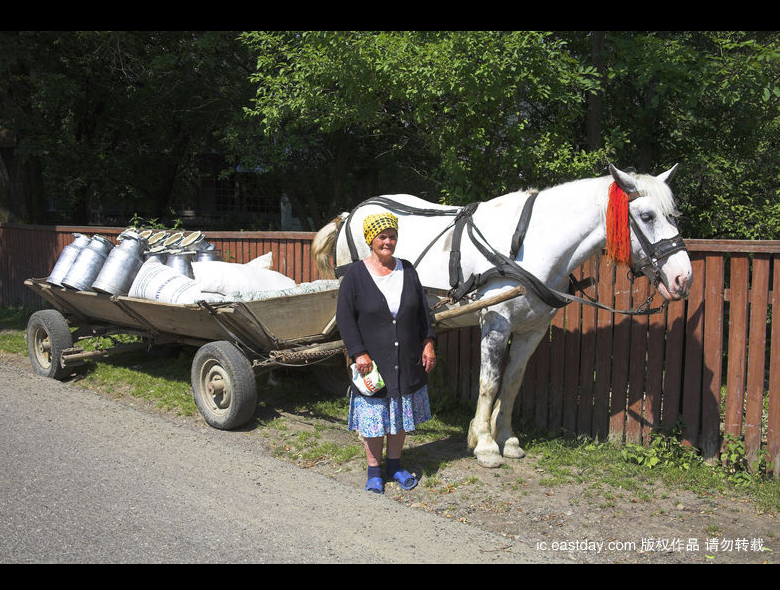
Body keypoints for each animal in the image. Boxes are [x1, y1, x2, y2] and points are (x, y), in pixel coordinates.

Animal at [314, 164, 692, 470]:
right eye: (647, 216)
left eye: (673, 214)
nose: (683, 278)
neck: (529, 244)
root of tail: (351, 213)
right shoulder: (496, 324)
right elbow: (489, 382)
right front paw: (484, 444)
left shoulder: (532, 330)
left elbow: (512, 382)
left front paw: (507, 438)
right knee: (354, 353)